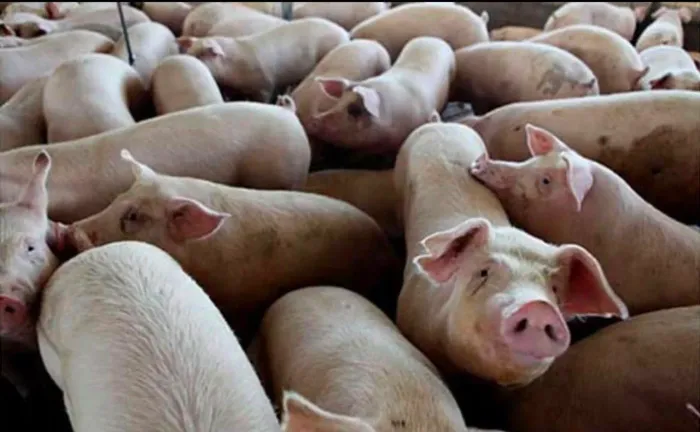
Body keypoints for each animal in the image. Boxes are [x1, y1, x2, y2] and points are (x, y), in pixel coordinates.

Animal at [178, 18, 349, 102]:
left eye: (200, 55)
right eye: (191, 51)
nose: (185, 58)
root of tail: (345, 34)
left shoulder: (265, 84)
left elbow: (264, 99)